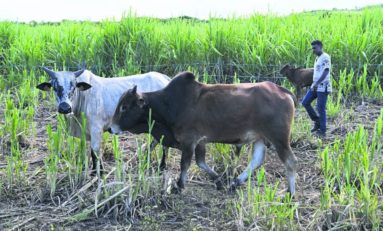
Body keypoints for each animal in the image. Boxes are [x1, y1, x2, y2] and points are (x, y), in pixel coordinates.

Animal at [36, 67, 171, 174]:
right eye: (54, 87)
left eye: (74, 87)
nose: (64, 107)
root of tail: (165, 78)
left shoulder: (96, 128)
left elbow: (95, 152)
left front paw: (99, 172)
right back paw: (145, 157)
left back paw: (162, 165)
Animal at [109, 72, 298, 197]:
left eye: (125, 106)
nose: (111, 128)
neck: (168, 105)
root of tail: (282, 90)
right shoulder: (200, 141)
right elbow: (201, 162)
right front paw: (219, 181)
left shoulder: (189, 141)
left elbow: (185, 164)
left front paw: (179, 185)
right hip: (259, 138)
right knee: (257, 160)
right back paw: (235, 183)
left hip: (279, 139)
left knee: (290, 162)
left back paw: (291, 194)